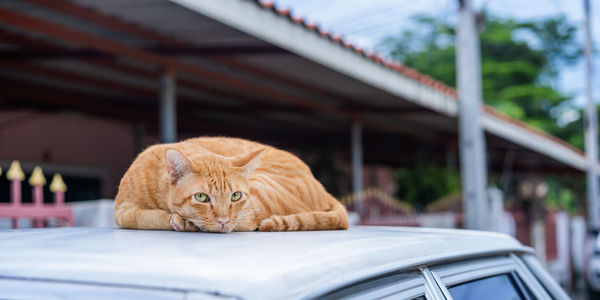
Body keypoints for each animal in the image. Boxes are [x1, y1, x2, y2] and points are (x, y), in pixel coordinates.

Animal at [114, 136, 350, 232]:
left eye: (235, 196)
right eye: (202, 197)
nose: (223, 221)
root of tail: (323, 188)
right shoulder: (121, 211)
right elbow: (142, 217)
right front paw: (174, 219)